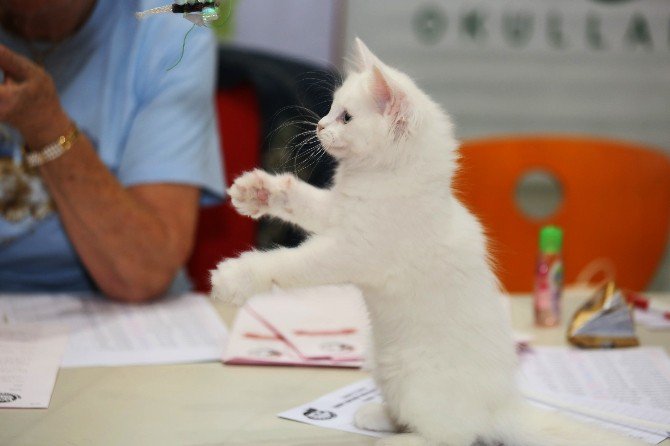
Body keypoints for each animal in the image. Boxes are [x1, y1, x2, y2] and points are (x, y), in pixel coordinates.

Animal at [213, 39, 648, 446]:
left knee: (450, 436)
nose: (319, 126)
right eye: (331, 109)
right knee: (411, 416)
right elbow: (302, 200)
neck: (387, 183)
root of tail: (500, 405)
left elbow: (287, 264)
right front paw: (259, 191)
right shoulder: (338, 213)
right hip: (382, 363)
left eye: (345, 116)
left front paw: (235, 276)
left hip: (416, 381)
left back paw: (396, 440)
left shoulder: (351, 252)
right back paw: (376, 416)